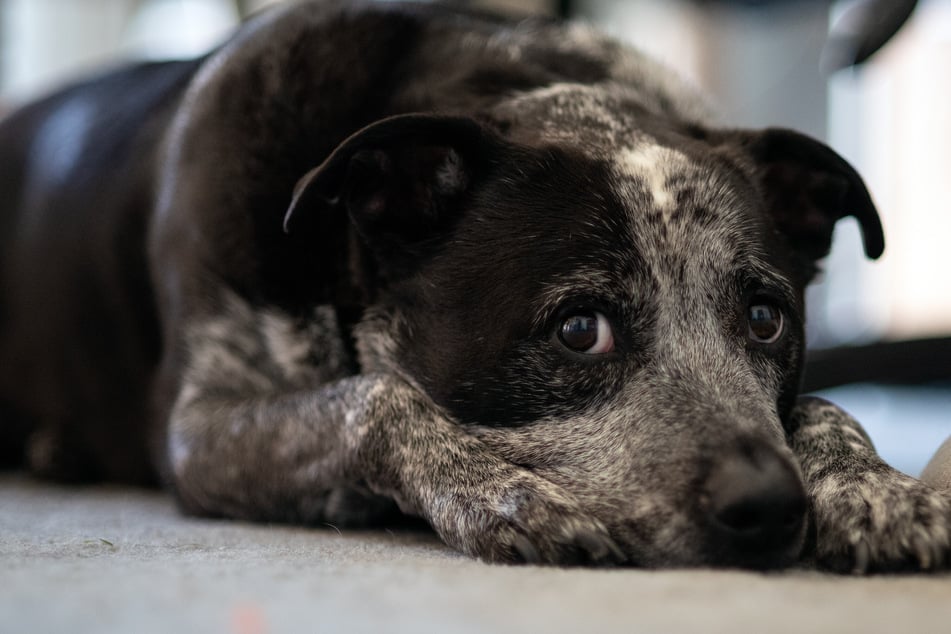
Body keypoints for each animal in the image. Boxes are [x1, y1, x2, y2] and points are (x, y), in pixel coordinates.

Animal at [1, 1, 951, 572]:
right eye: (579, 330)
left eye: (763, 319)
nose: (768, 506)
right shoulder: (200, 429)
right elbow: (374, 401)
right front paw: (510, 493)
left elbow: (821, 406)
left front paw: (876, 488)